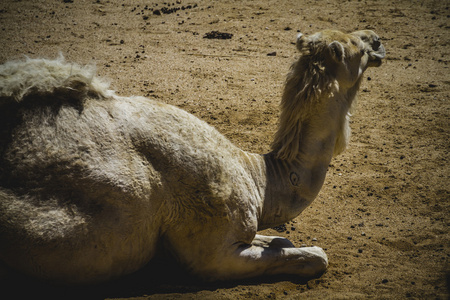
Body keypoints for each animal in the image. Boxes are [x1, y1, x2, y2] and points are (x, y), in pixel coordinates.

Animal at [0, 29, 384, 284]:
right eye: (355, 46)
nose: (378, 39)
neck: (259, 178)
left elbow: (282, 240)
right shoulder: (214, 249)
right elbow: (316, 256)